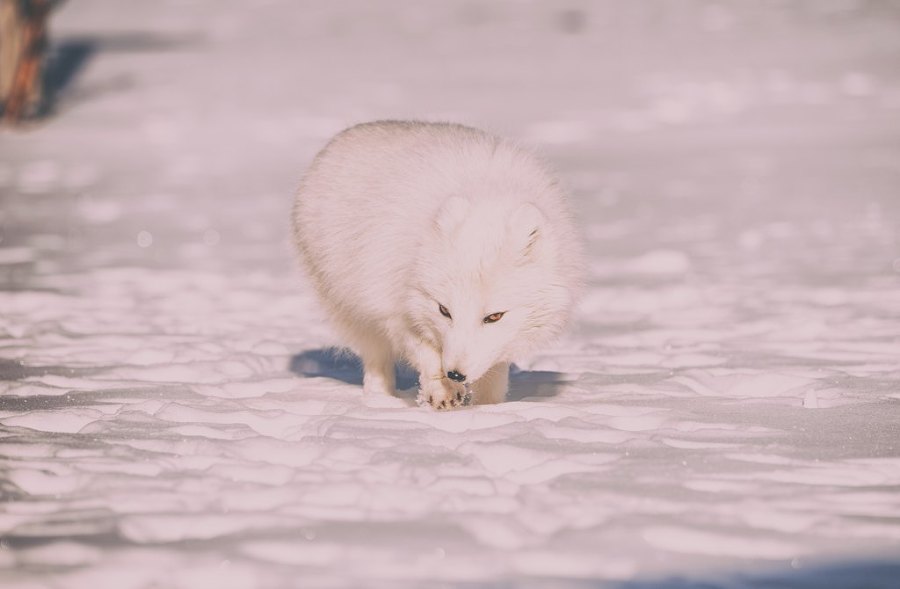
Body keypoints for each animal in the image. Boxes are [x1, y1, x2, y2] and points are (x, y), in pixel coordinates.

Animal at [292, 120, 580, 408]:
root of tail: (341, 137)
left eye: (494, 317)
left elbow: (494, 376)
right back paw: (380, 401)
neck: (488, 196)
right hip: (354, 311)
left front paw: (488, 409)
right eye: (444, 310)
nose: (456, 373)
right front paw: (442, 390)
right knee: (376, 362)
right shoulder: (397, 309)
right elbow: (427, 355)